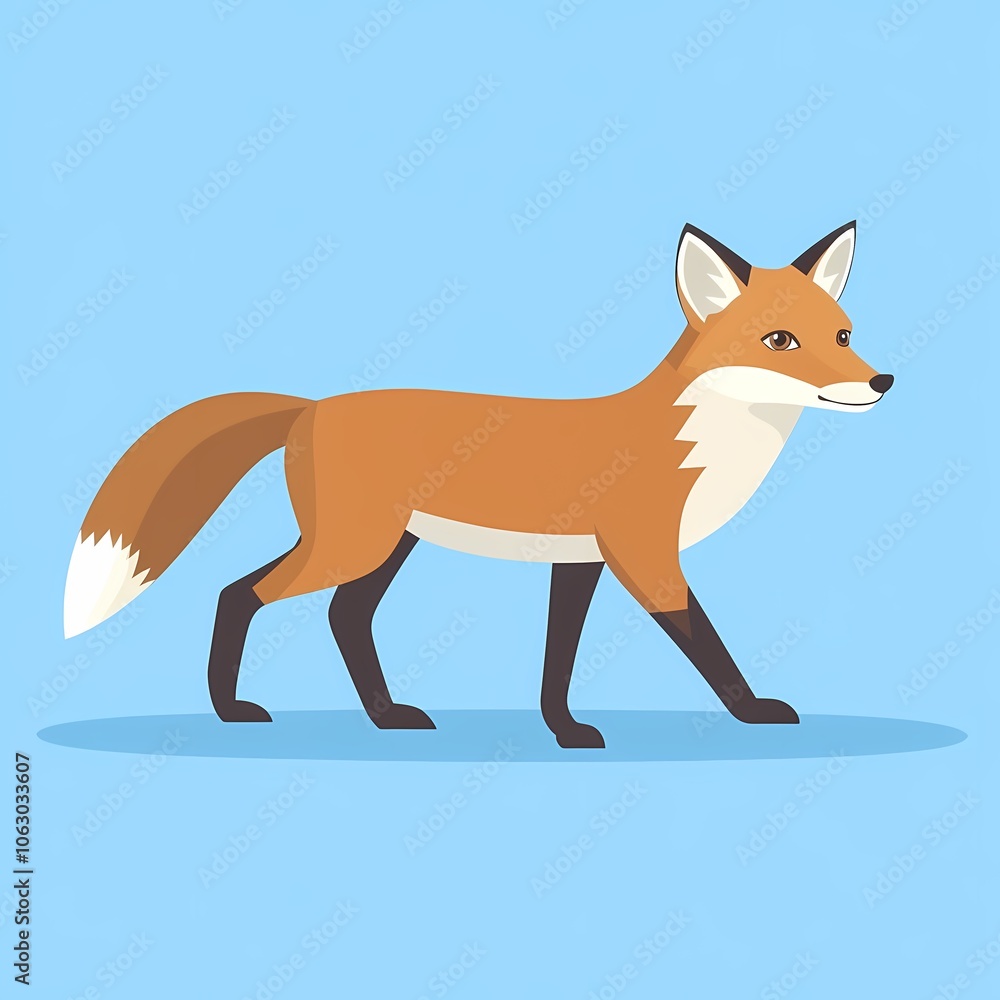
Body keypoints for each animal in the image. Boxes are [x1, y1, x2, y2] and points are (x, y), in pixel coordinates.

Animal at [64, 221, 892, 748]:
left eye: (843, 335)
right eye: (779, 341)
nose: (881, 380)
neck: (700, 438)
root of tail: (312, 405)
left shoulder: (580, 561)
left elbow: (558, 661)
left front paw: (564, 731)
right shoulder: (647, 559)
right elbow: (710, 648)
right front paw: (752, 711)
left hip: (385, 548)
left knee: (344, 617)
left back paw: (387, 717)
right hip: (354, 545)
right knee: (241, 593)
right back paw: (231, 709)